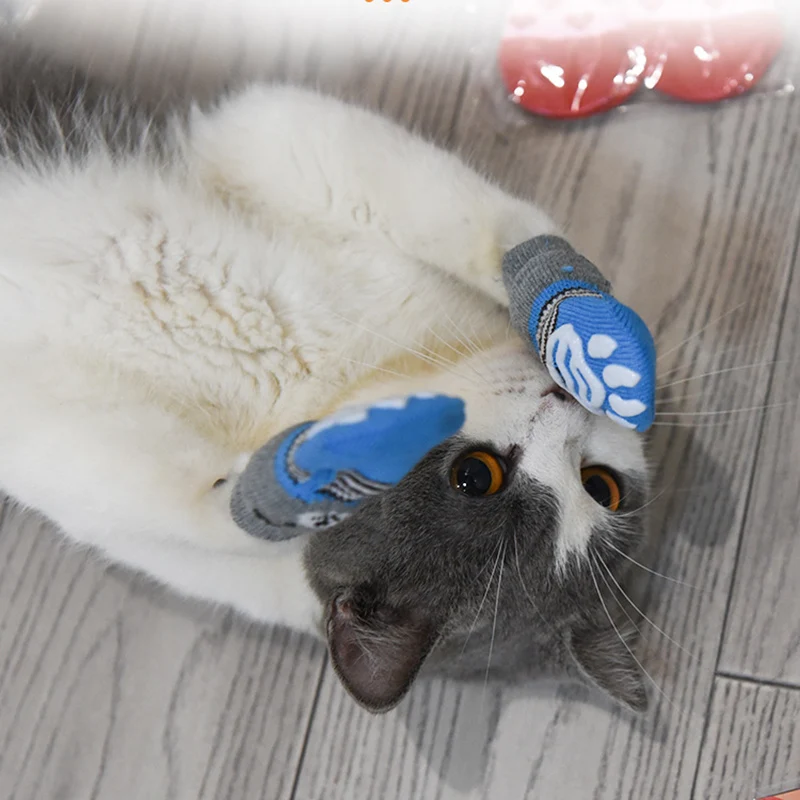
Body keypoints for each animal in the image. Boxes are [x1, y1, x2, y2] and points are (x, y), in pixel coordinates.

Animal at [0, 39, 651, 714]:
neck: (325, 384)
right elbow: (473, 216)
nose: (565, 398)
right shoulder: (272, 137)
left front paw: (284, 490)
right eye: (476, 477)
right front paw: (585, 319)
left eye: (599, 486)